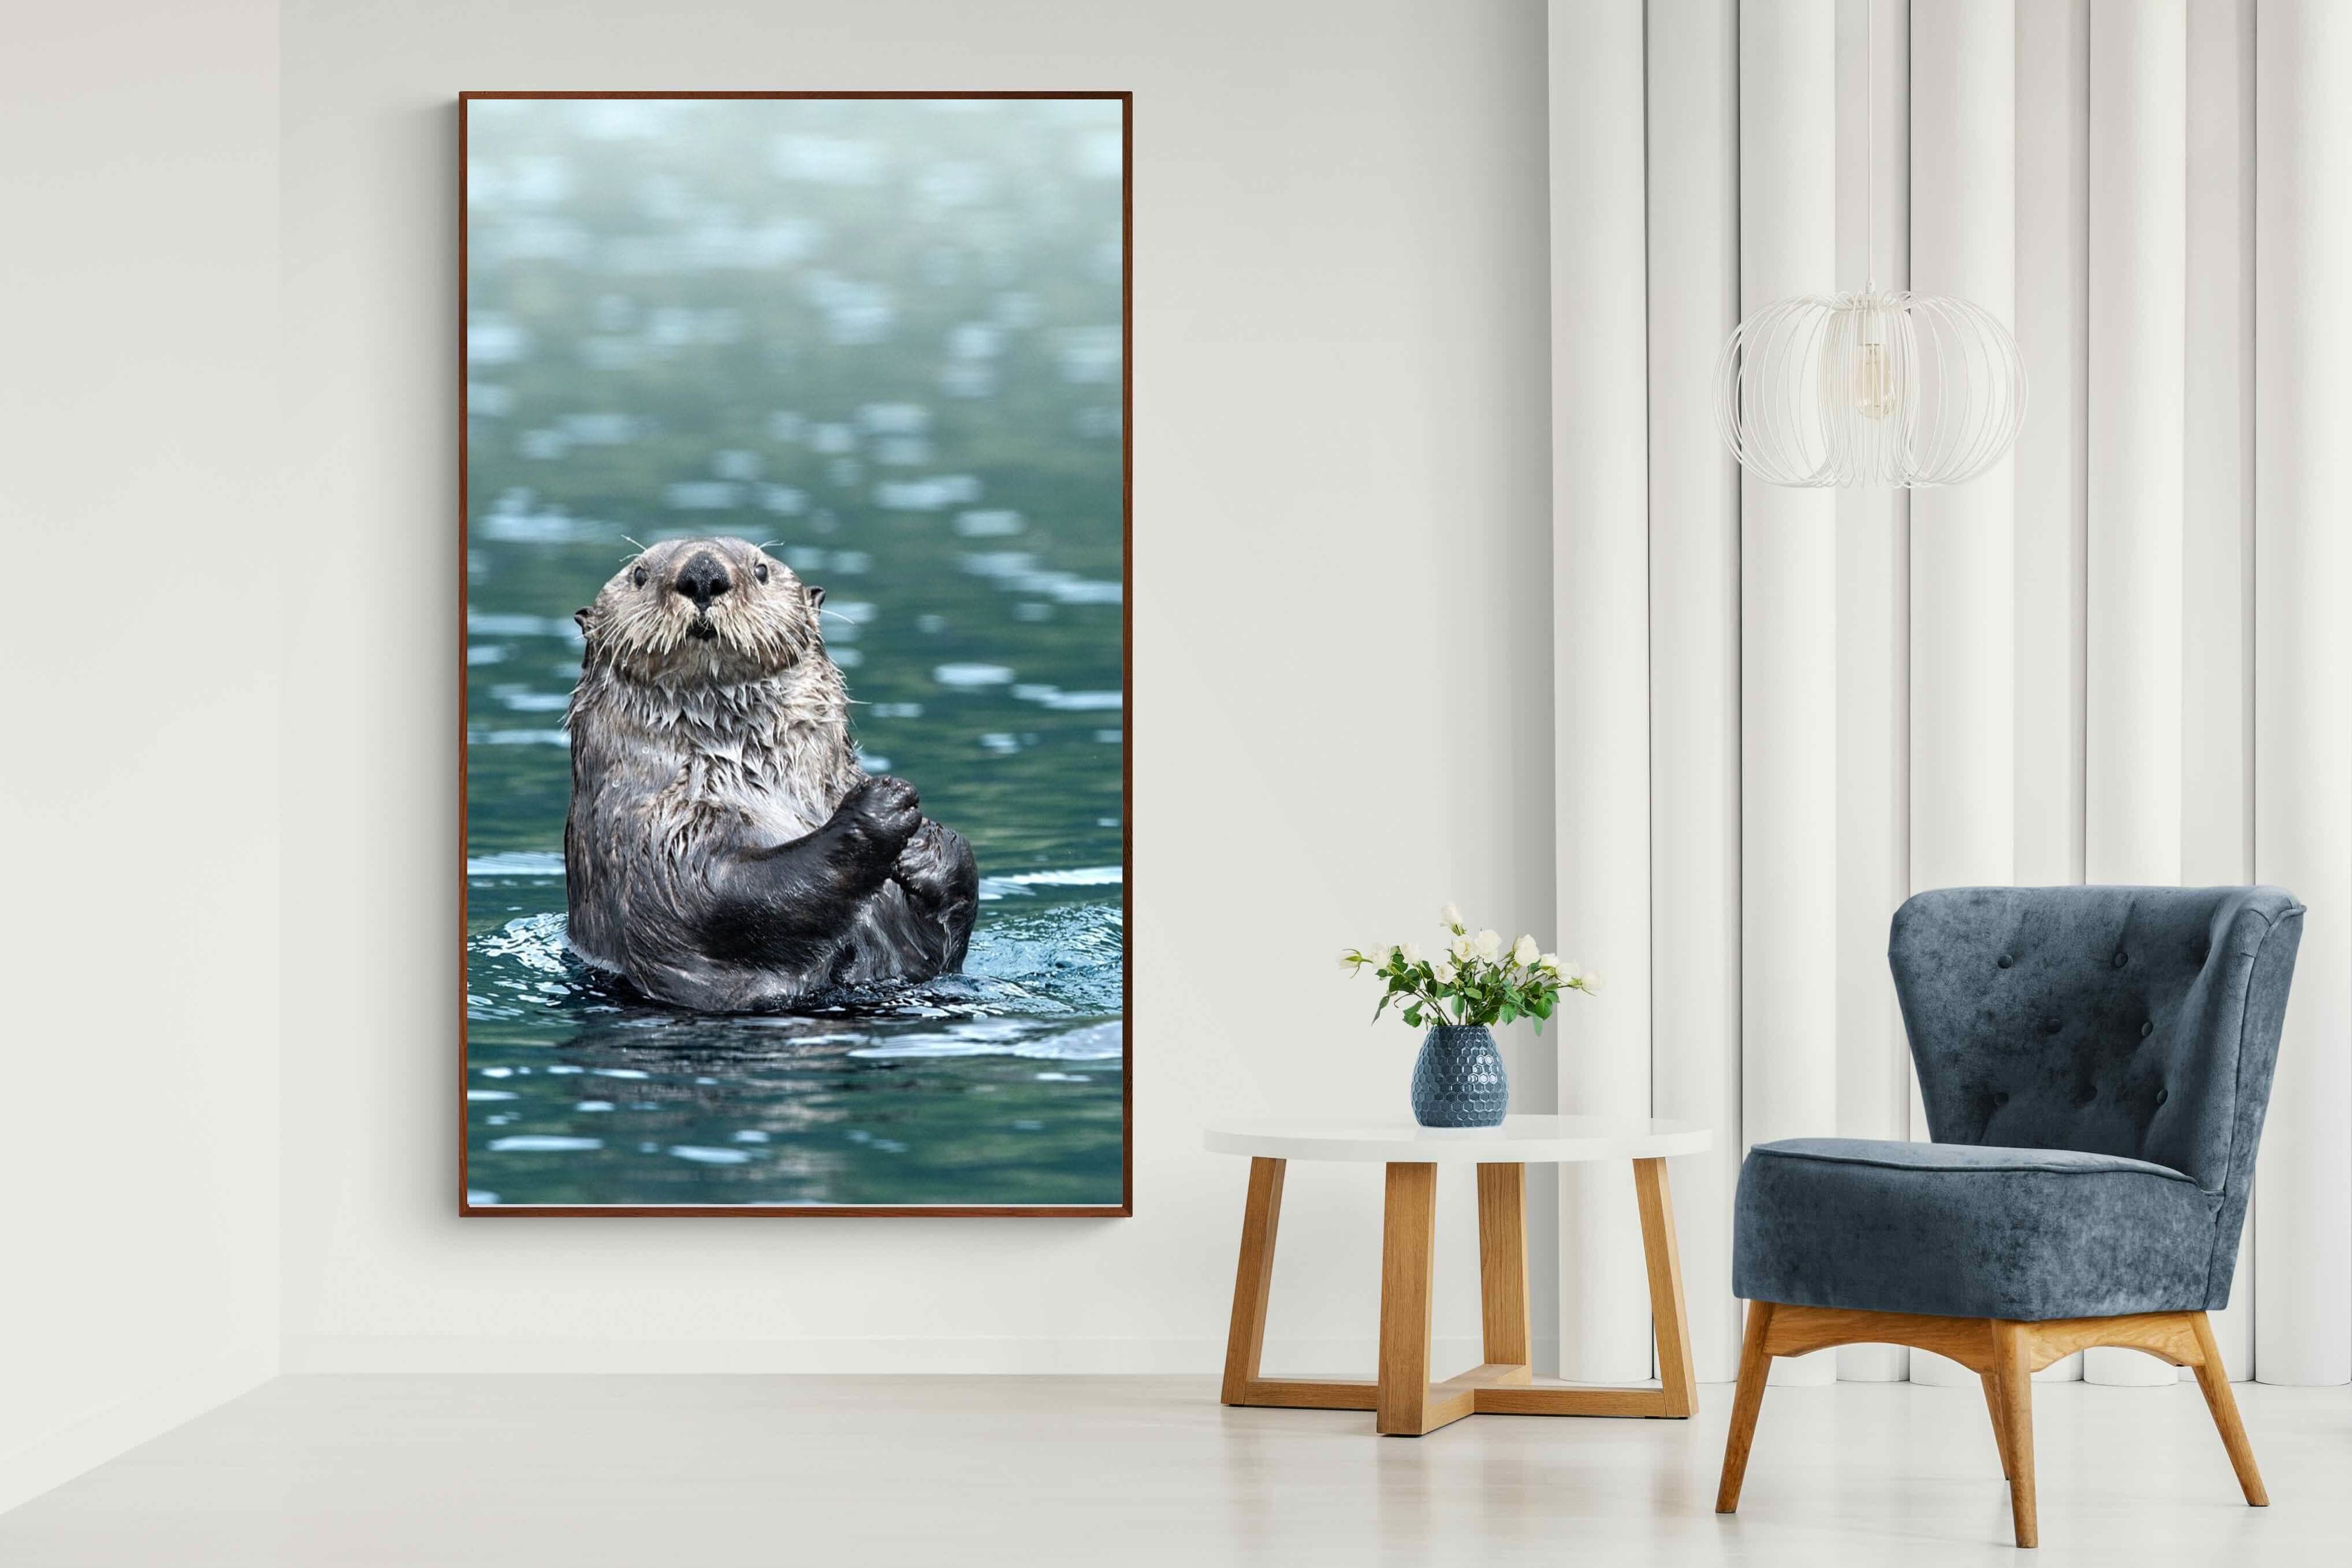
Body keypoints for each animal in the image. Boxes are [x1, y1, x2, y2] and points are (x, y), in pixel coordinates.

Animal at [562, 536, 978, 1011]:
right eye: (639, 574)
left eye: (760, 570)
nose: (703, 573)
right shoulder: (651, 835)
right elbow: (724, 894)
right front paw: (881, 805)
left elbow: (940, 945)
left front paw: (927, 844)